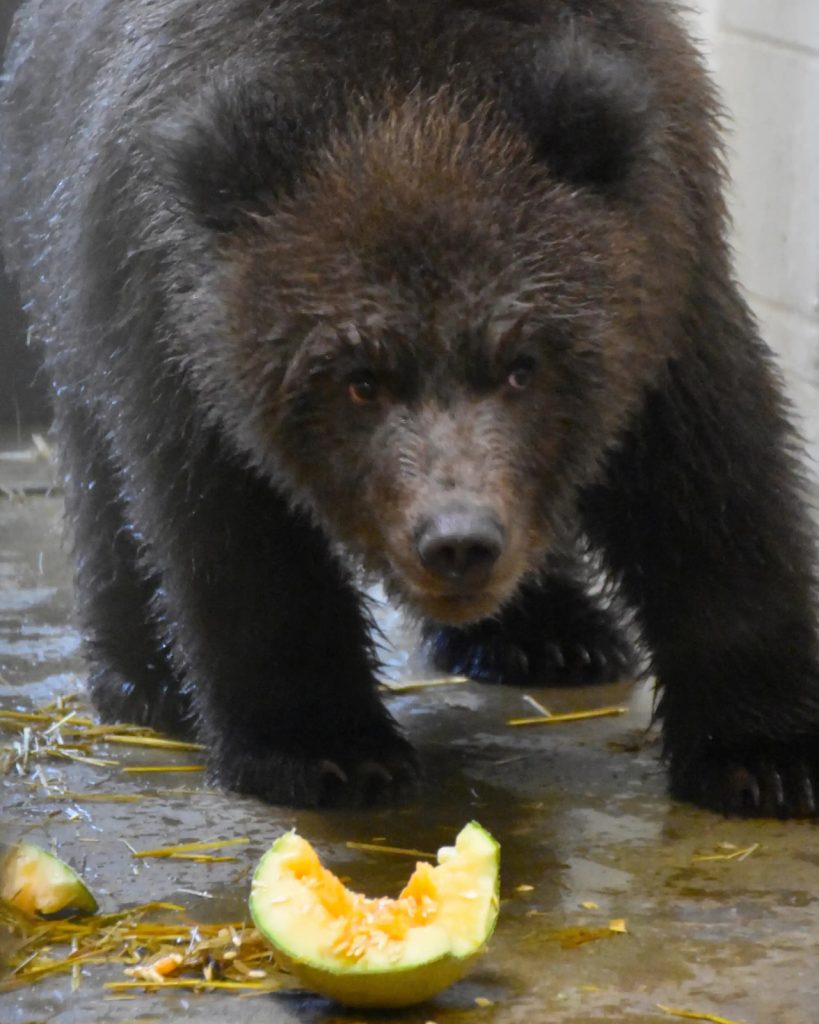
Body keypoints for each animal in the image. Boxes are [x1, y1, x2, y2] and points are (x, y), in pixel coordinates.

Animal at [2, 0, 818, 814]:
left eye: (522, 365)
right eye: (359, 378)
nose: (457, 541)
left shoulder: (666, 265)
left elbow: (710, 485)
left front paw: (764, 753)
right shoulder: (172, 310)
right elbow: (230, 528)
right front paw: (325, 748)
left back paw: (550, 633)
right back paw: (149, 680)